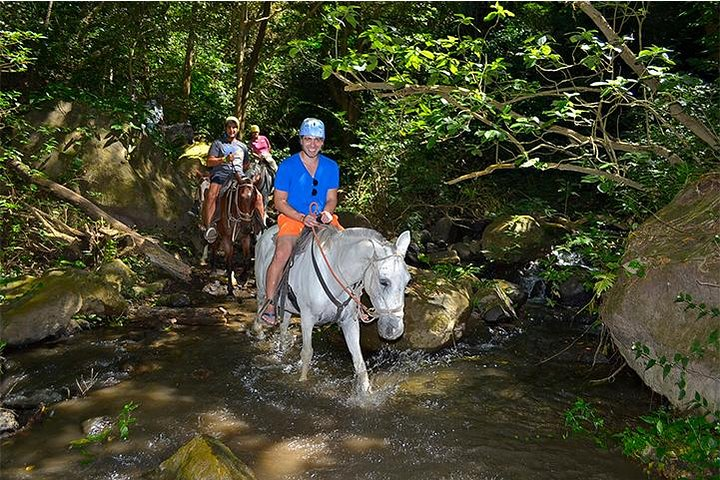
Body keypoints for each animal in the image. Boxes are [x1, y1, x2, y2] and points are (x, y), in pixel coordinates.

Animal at [255, 225, 410, 394]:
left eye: (408, 281)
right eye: (383, 281)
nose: (395, 330)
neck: (336, 274)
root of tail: (266, 232)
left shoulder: (349, 321)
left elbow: (359, 361)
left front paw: (365, 393)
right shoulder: (307, 318)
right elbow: (307, 353)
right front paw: (302, 381)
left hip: (288, 309)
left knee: (283, 330)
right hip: (262, 293)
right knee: (259, 314)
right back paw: (260, 331)